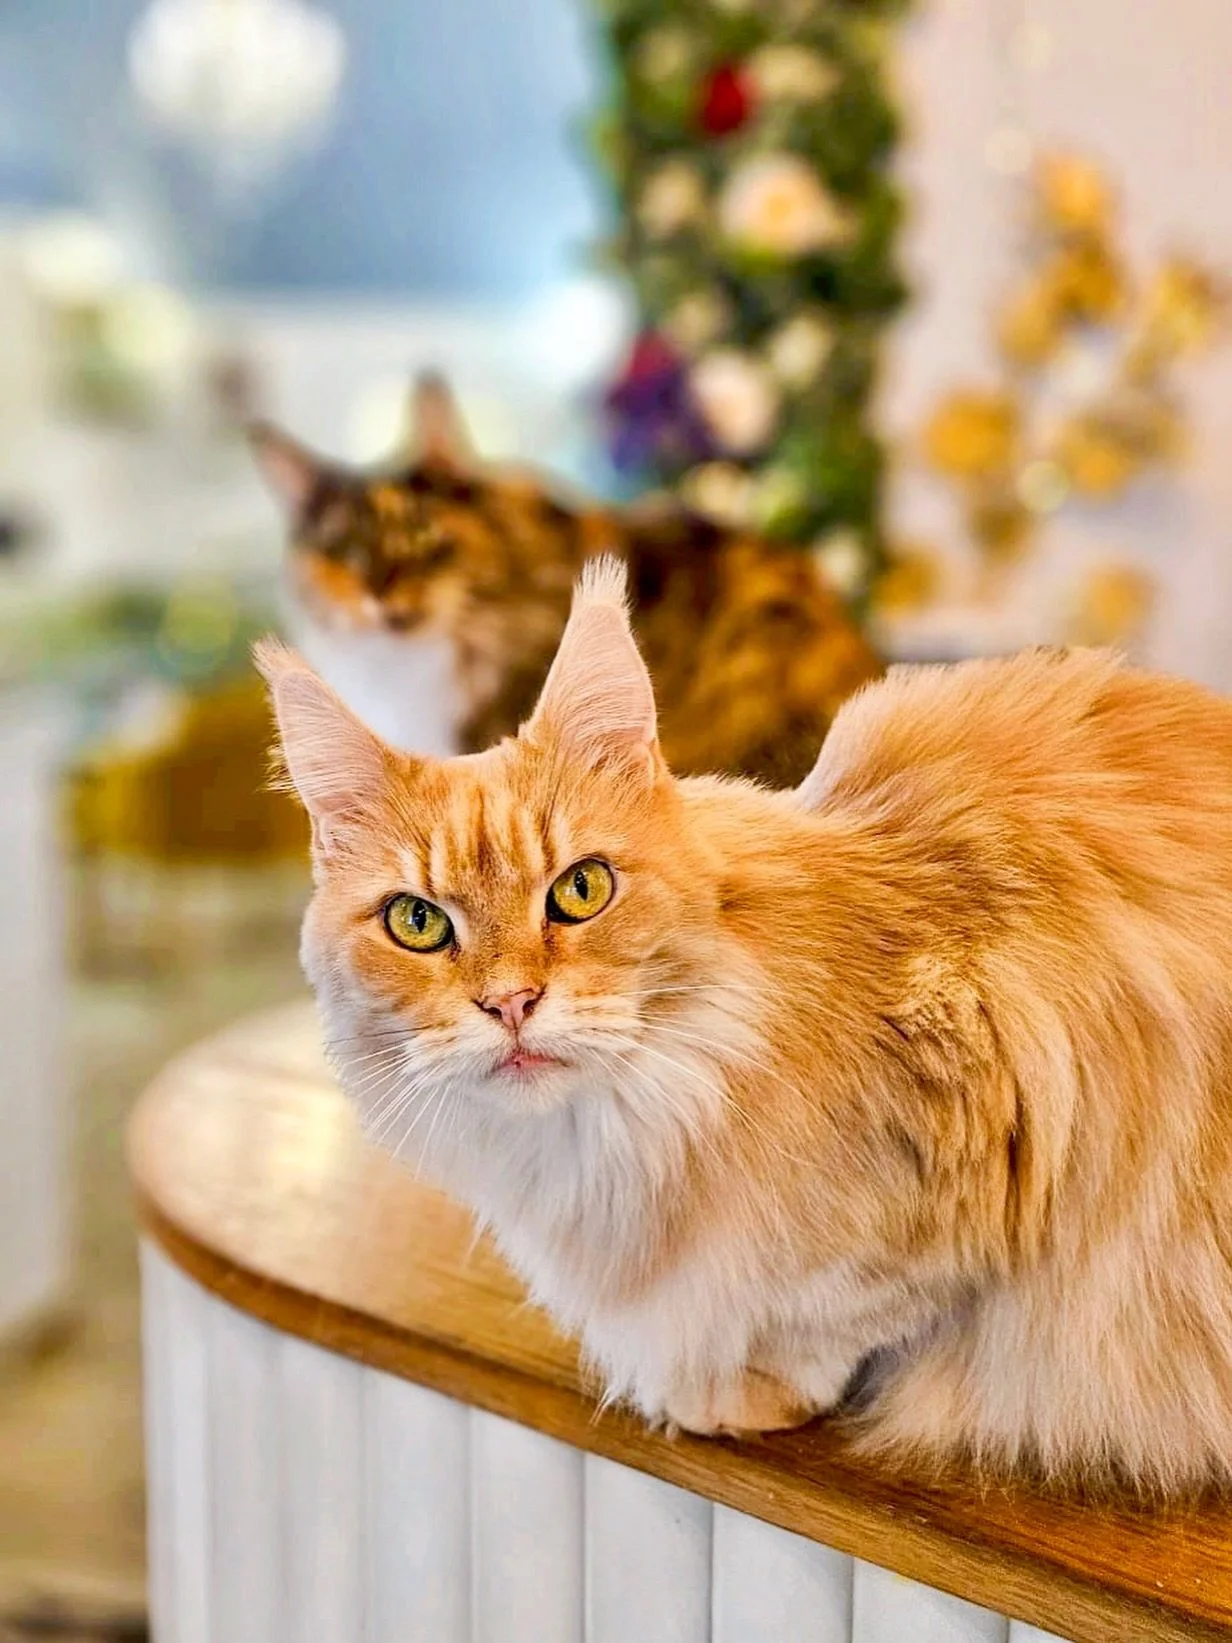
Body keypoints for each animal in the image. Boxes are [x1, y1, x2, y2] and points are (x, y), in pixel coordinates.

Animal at [259, 557, 1232, 1496]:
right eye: (417, 922)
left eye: (581, 888)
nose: (509, 1003)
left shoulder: (976, 1116)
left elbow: (836, 1314)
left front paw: (735, 1391)